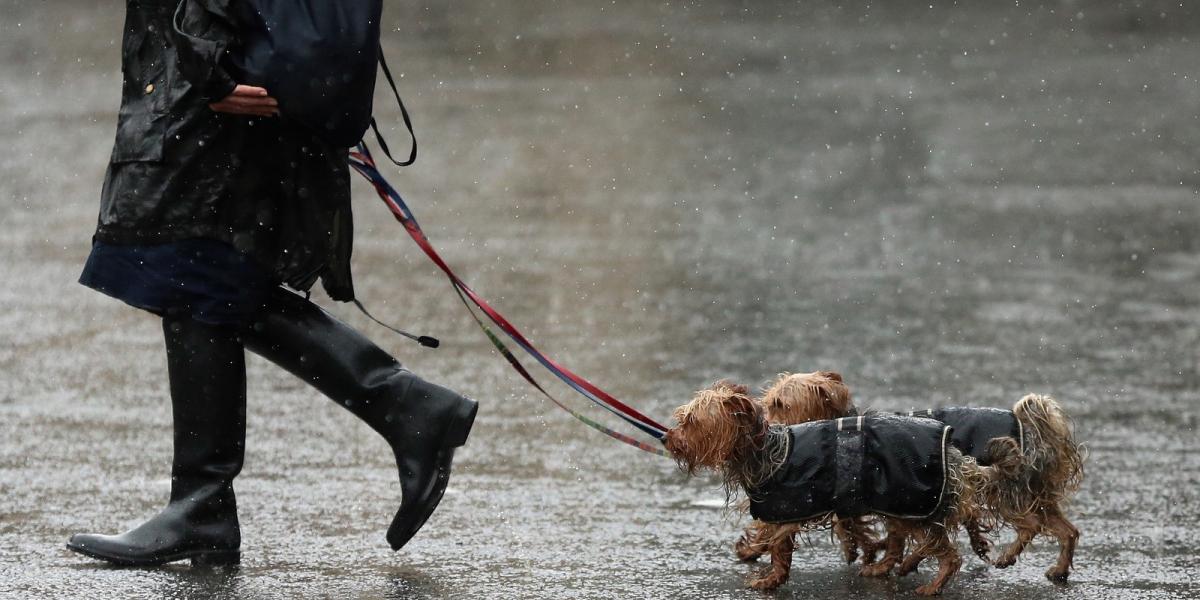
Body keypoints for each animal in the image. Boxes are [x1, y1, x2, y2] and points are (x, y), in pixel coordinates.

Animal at [667, 381, 984, 597]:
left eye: (691, 421)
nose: (668, 438)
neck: (763, 450)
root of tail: (951, 449)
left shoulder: (784, 509)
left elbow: (778, 550)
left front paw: (768, 580)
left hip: (914, 504)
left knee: (948, 553)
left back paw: (932, 585)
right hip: (900, 504)